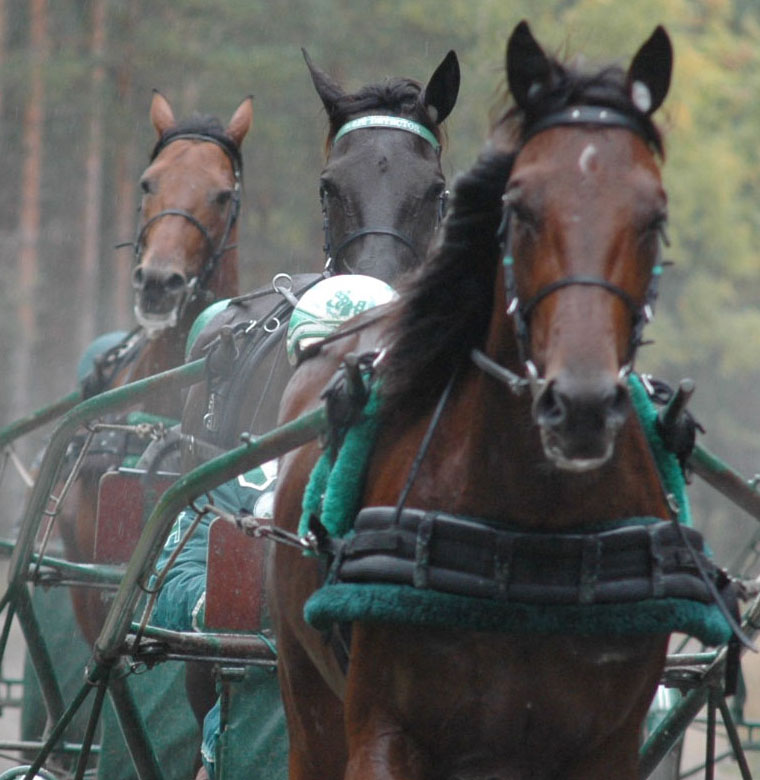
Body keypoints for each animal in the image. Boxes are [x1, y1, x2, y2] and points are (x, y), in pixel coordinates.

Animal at [272, 21, 696, 776]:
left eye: (654, 214)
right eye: (328, 187)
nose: (579, 404)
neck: (533, 529)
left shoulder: (607, 743)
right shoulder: (383, 729)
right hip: (308, 698)